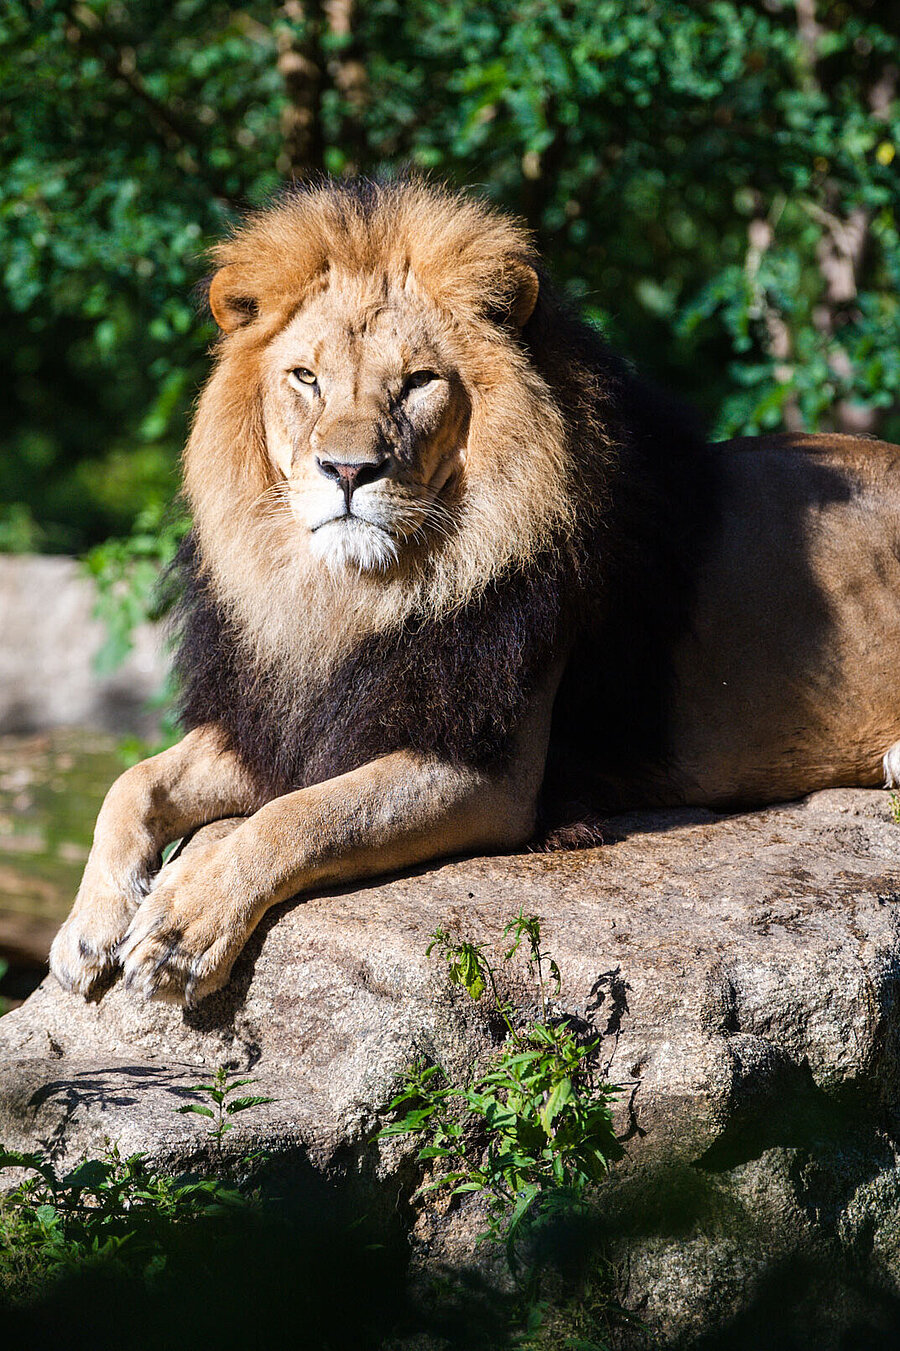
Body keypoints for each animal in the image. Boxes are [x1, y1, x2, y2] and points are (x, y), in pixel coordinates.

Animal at [50, 176, 900, 1005]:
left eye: (419, 383)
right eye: (306, 377)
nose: (349, 470)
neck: (346, 595)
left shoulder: (488, 773)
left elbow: (295, 816)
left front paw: (181, 929)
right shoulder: (287, 724)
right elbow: (135, 782)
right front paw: (87, 929)